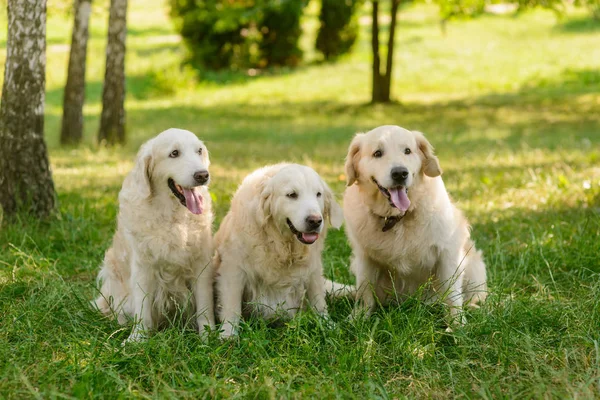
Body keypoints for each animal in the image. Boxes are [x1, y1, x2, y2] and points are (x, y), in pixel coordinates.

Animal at [92, 130, 214, 342]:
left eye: (199, 151)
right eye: (174, 153)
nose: (202, 175)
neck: (173, 217)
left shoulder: (202, 264)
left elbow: (205, 305)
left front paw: (209, 336)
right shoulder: (143, 265)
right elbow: (142, 306)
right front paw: (137, 338)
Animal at [213, 162, 344, 338]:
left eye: (318, 194)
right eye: (292, 195)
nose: (315, 221)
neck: (282, 244)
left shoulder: (313, 270)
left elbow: (318, 300)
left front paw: (328, 326)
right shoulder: (233, 270)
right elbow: (231, 305)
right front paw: (228, 334)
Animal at [342, 126, 488, 324]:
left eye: (407, 151)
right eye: (377, 153)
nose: (400, 173)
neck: (397, 218)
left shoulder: (448, 251)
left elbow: (452, 293)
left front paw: (457, 323)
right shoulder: (364, 257)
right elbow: (365, 291)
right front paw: (358, 318)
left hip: (473, 265)